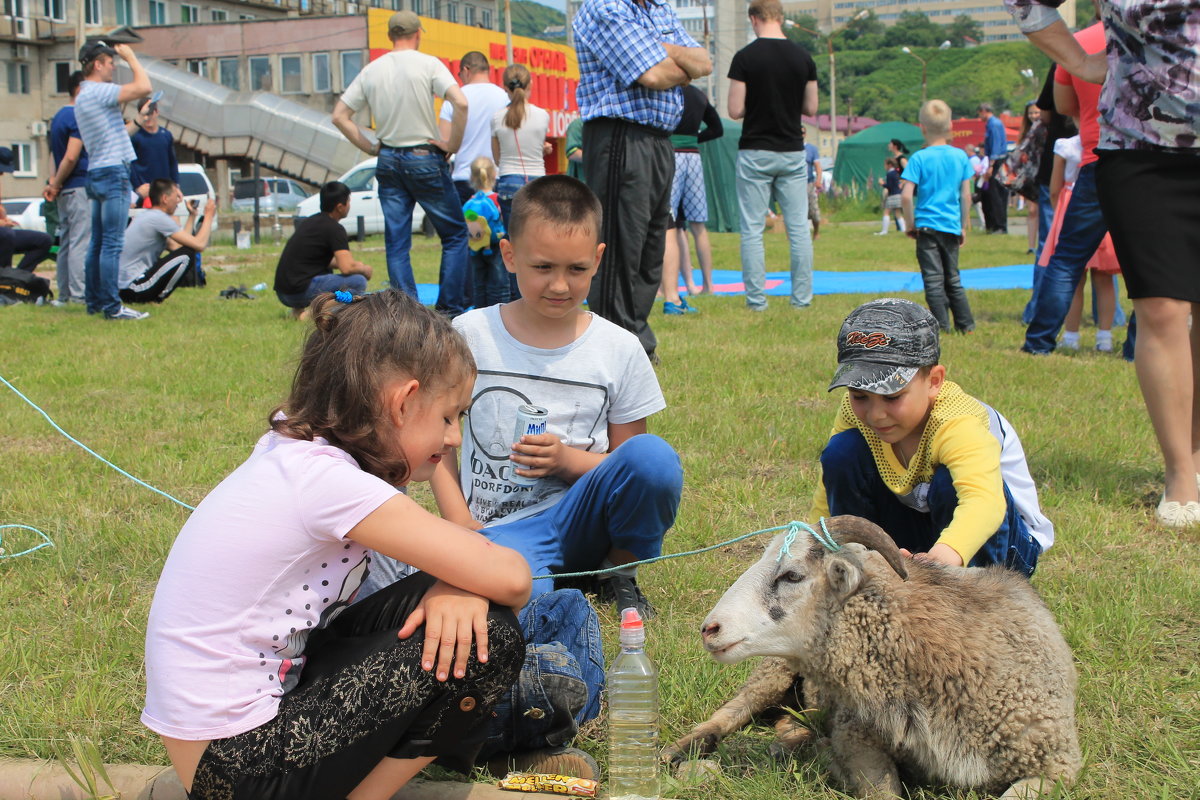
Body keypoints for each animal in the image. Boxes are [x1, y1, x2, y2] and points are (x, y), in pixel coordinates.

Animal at [667, 515, 1080, 796]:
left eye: (792, 576)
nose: (709, 629)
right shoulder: (858, 737)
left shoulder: (1057, 764)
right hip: (771, 674)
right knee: (727, 716)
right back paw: (677, 752)